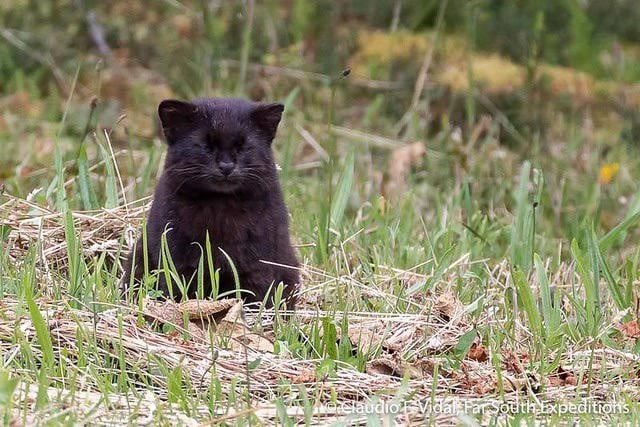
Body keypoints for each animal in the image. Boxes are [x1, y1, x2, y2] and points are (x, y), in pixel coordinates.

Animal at [122, 98, 300, 310]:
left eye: (243, 146)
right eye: (205, 145)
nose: (226, 166)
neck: (220, 205)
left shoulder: (258, 263)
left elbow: (256, 296)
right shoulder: (176, 259)